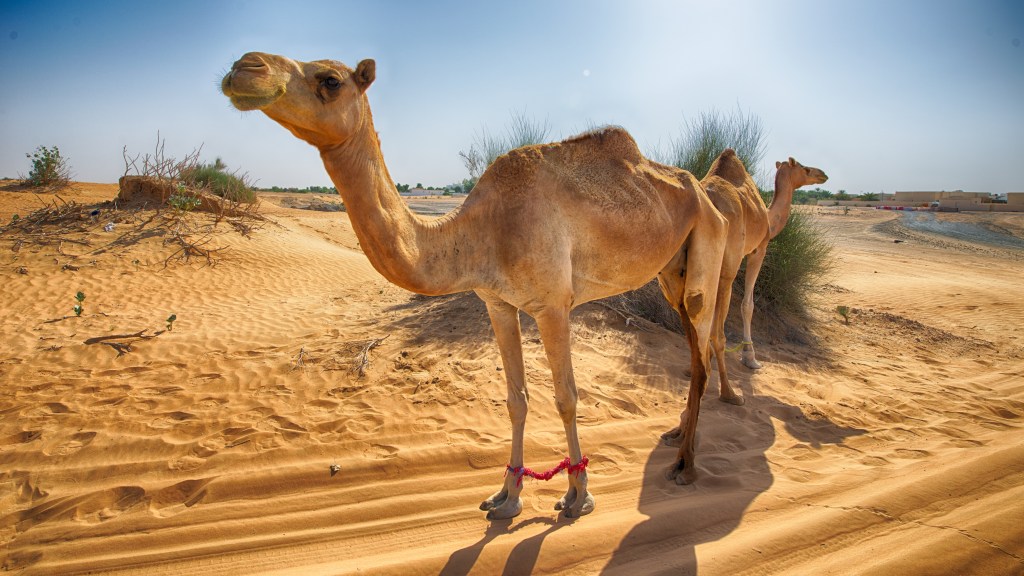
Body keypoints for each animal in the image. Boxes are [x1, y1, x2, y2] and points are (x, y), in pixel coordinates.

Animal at [221, 52, 728, 518]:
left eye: (330, 80)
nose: (244, 68)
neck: (481, 230)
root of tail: (705, 193)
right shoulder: (497, 303)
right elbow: (516, 399)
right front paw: (507, 495)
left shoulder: (553, 305)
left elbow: (566, 397)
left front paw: (577, 495)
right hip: (671, 272)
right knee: (693, 348)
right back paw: (676, 436)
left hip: (708, 243)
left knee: (701, 355)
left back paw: (685, 465)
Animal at [661, 151, 828, 452]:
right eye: (805, 168)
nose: (823, 174)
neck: (769, 218)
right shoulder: (758, 248)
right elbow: (747, 305)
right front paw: (751, 358)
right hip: (726, 265)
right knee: (717, 330)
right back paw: (728, 394)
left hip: (675, 272)